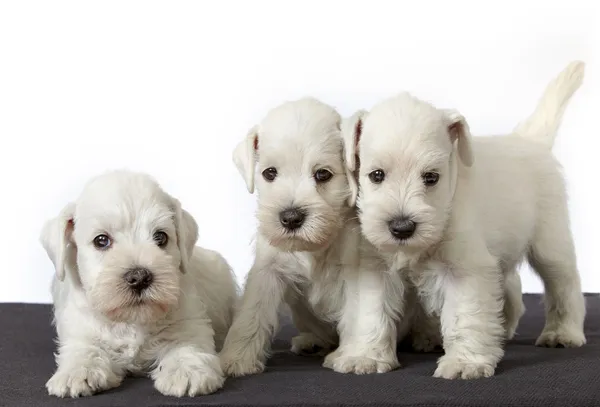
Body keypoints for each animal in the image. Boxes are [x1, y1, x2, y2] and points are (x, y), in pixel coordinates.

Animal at [38, 171, 237, 398]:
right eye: (101, 240)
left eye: (160, 236)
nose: (139, 277)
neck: (132, 320)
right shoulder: (80, 329)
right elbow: (85, 347)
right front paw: (78, 372)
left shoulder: (189, 321)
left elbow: (186, 343)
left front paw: (186, 371)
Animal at [340, 60, 588, 380]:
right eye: (376, 175)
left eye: (431, 177)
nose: (402, 228)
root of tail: (529, 140)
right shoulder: (375, 266)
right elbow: (371, 313)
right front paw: (365, 357)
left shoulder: (465, 269)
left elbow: (465, 315)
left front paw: (465, 362)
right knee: (512, 286)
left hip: (550, 244)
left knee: (564, 285)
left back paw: (563, 332)